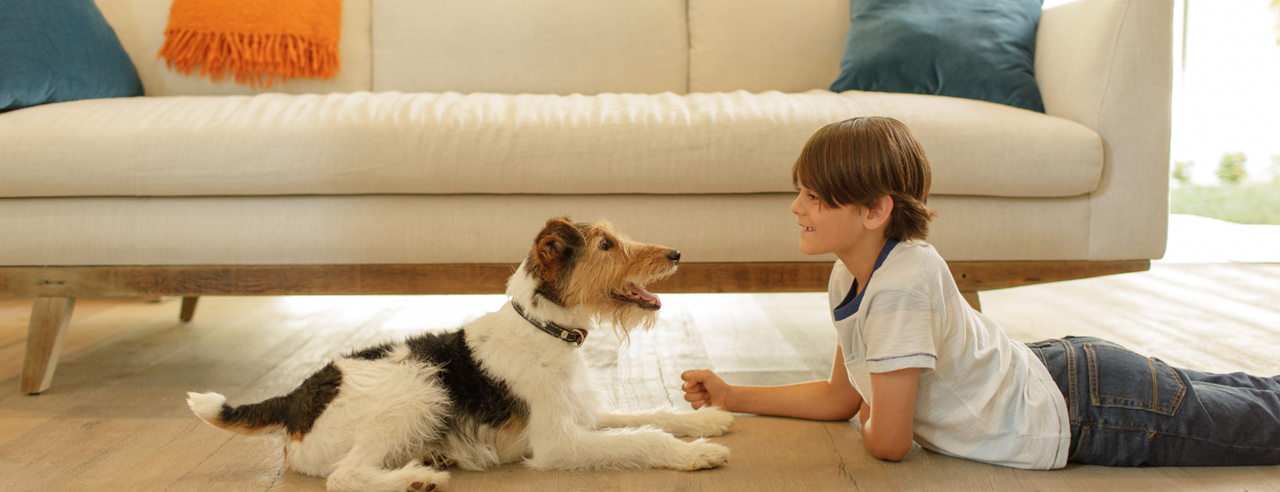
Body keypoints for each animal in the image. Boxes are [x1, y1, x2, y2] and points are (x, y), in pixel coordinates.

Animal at [185, 217, 737, 492]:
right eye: (605, 244)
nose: (677, 254)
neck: (544, 329)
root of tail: (295, 397)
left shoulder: (584, 415)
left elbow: (651, 415)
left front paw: (707, 420)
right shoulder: (559, 443)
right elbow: (643, 436)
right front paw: (695, 453)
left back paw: (430, 457)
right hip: (421, 388)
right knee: (345, 476)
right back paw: (418, 478)